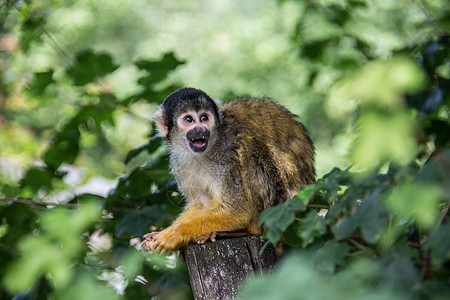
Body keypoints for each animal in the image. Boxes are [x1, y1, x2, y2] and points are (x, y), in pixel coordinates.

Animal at [142, 87, 314, 253]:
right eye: (189, 120)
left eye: (204, 118)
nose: (200, 129)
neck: (204, 152)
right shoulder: (179, 163)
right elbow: (201, 205)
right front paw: (163, 233)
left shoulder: (226, 156)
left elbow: (238, 212)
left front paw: (174, 236)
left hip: (280, 205)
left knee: (247, 144)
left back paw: (247, 230)